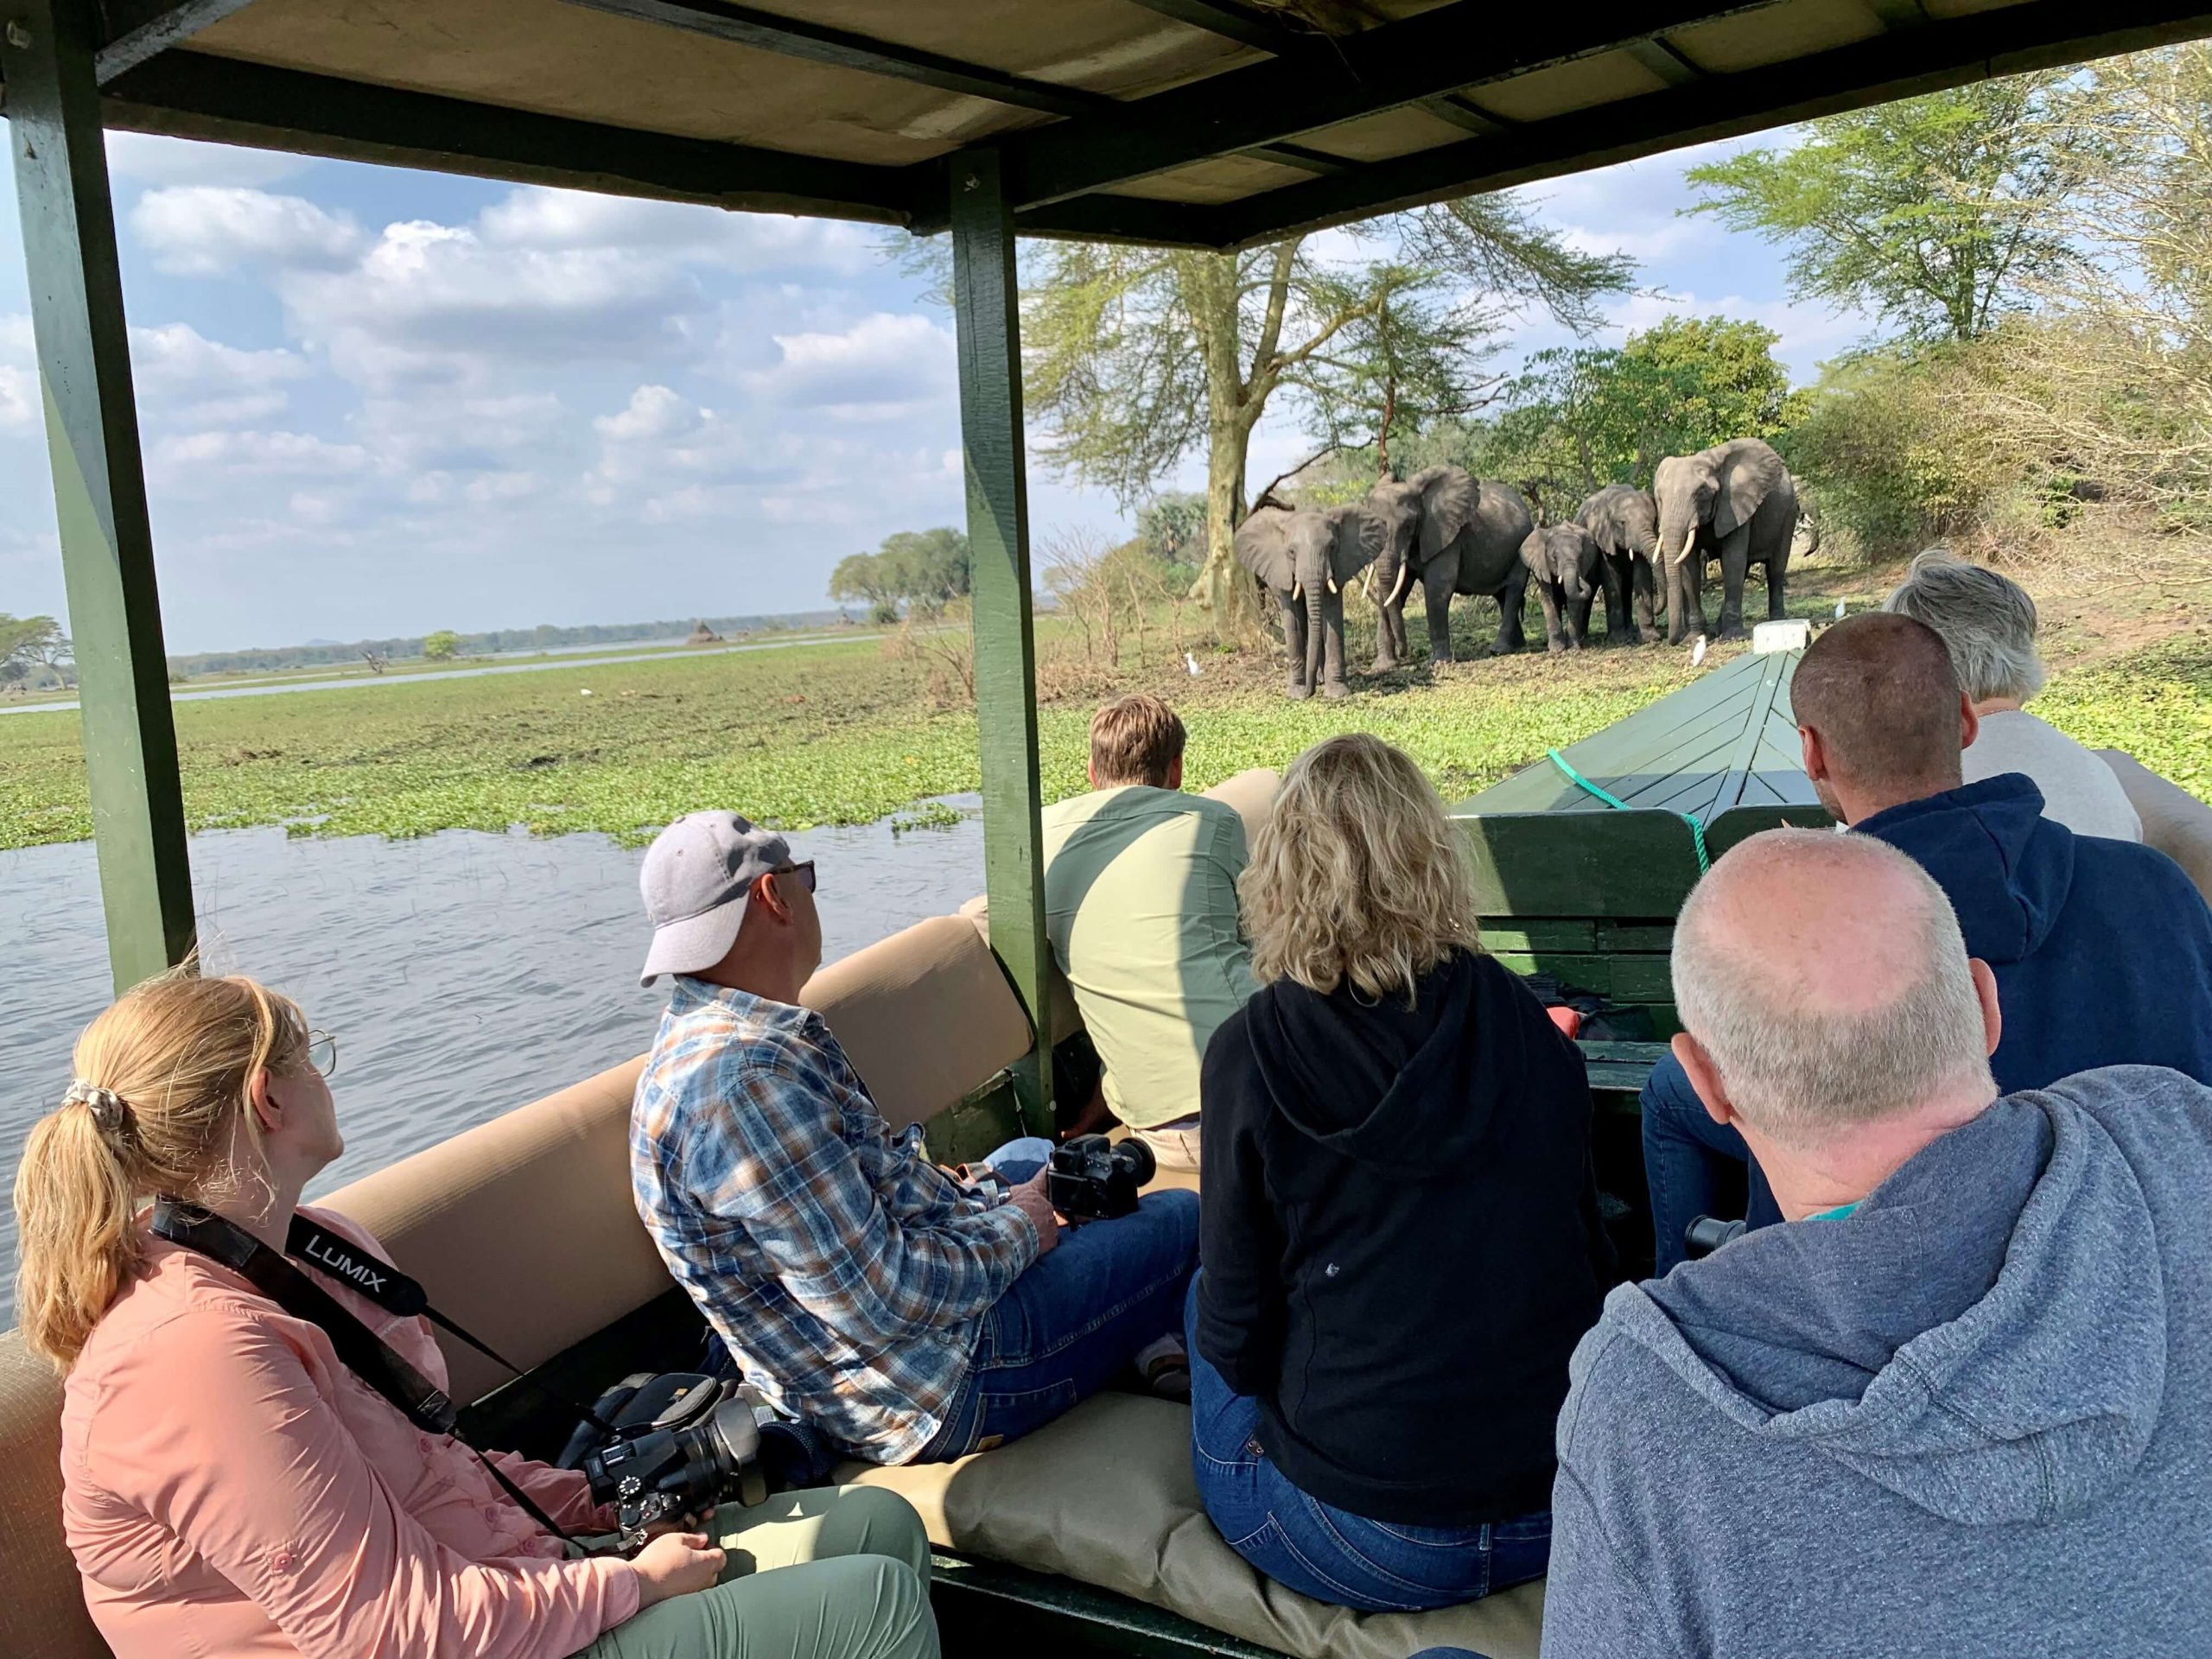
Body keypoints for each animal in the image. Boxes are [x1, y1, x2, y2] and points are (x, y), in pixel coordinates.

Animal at [1230, 498, 1380, 698]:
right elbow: (1293, 620)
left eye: (1332, 547)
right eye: (1291, 552)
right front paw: (1297, 694)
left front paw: (1337, 693)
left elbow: (1332, 615)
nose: (1311, 691)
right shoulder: (1282, 571)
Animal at [1362, 464, 1539, 668]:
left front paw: (1437, 662)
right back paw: (1517, 645)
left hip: (1523, 545)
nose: (1404, 654)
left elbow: (1437, 589)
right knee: (1502, 595)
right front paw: (1383, 666)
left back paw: (1499, 650)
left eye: (1408, 526)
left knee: (1513, 590)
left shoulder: (1447, 537)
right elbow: (1393, 593)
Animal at [1513, 522, 1618, 654]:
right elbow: (1548, 598)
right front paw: (1557, 649)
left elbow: (1574, 601)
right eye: (1554, 557)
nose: (1580, 578)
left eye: (1581, 557)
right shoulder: (1541, 566)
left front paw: (1573, 648)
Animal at [1574, 484, 1663, 645]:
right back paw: (1585, 637)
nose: (1657, 610)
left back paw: (1631, 630)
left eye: (1654, 520)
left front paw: (1650, 638)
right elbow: (1611, 578)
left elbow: (1642, 575)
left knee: (1626, 588)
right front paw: (1618, 640)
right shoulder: (1603, 538)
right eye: (1622, 523)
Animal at [1645, 435, 1796, 641]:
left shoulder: (1736, 505)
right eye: (1659, 498)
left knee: (1775, 569)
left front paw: (1733, 637)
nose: (1673, 641)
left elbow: (1733, 560)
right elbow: (1690, 566)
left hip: (1789, 513)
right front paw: (1695, 638)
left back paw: (1777, 621)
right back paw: (1717, 629)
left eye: (1701, 492)